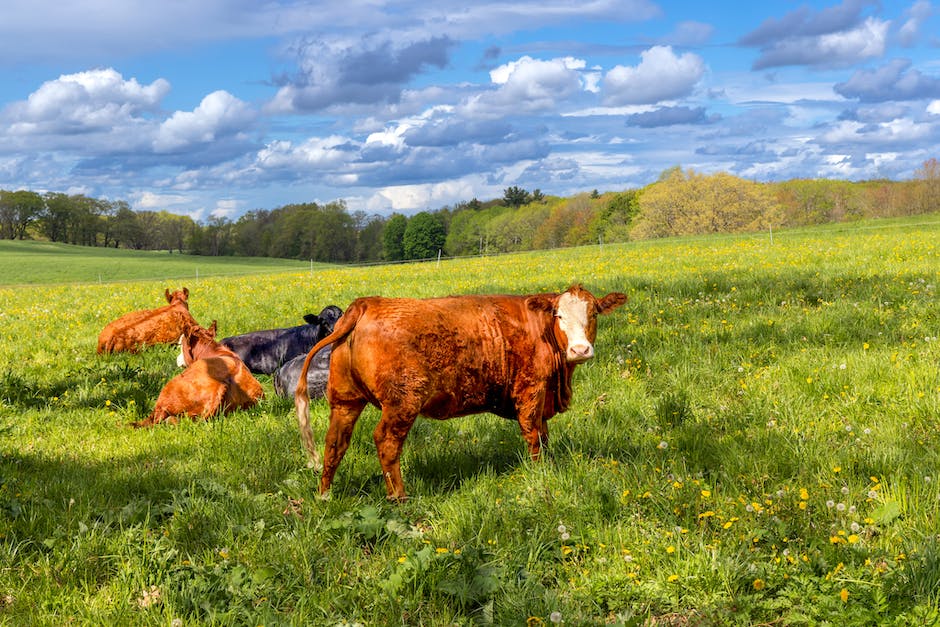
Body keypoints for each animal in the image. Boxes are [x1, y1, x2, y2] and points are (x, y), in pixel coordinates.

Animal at [298, 284, 628, 500]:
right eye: (559, 315)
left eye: (594, 314)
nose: (580, 349)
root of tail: (367, 303)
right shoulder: (531, 390)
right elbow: (534, 436)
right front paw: (541, 473)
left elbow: (544, 437)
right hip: (402, 403)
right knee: (386, 442)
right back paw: (400, 498)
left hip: (345, 401)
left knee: (335, 443)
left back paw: (324, 495)